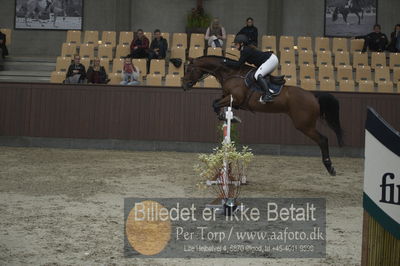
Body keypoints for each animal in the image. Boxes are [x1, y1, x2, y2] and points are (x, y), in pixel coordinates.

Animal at [183, 55, 342, 177]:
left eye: (189, 69)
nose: (184, 86)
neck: (231, 73)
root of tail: (313, 95)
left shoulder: (236, 98)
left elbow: (215, 104)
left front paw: (227, 117)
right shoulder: (230, 99)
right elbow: (216, 103)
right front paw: (228, 117)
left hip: (304, 125)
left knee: (323, 139)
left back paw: (330, 167)